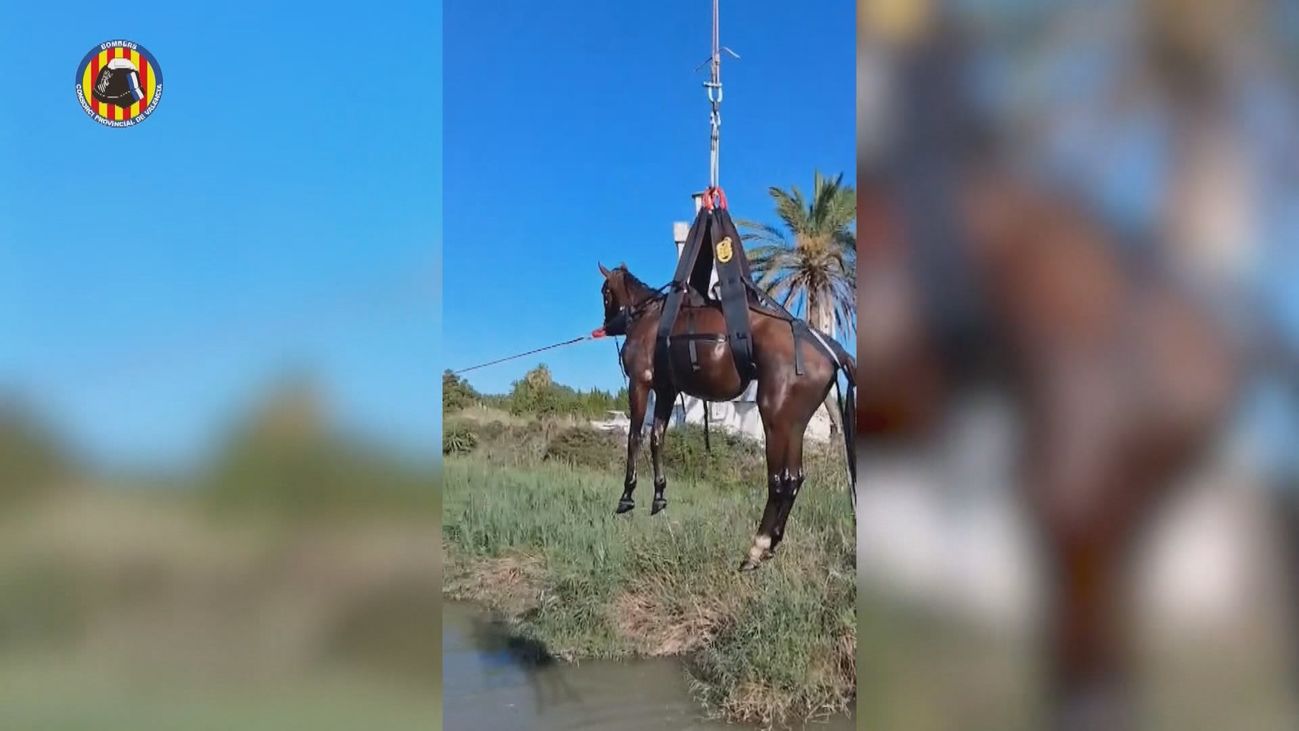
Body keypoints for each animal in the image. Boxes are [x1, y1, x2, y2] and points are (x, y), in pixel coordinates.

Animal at [596, 262, 856, 571]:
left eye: (605, 292)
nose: (608, 324)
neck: (650, 317)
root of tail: (830, 350)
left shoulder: (640, 383)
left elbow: (635, 437)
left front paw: (627, 496)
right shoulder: (666, 390)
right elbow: (657, 438)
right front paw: (659, 495)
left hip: (775, 420)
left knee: (779, 480)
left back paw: (756, 548)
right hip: (794, 425)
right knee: (794, 478)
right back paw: (770, 544)